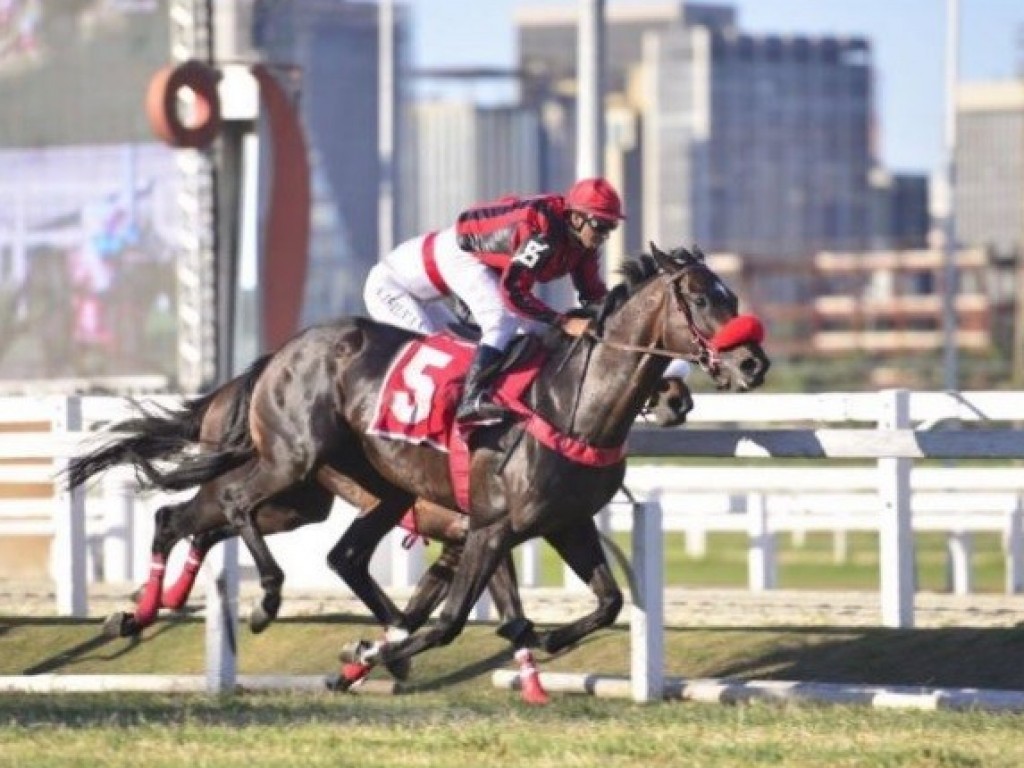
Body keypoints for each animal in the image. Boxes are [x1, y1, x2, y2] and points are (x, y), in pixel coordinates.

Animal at [86, 240, 770, 679]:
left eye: (731, 294)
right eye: (703, 299)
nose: (753, 363)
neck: (568, 403)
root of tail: (280, 353)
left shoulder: (562, 523)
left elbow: (607, 603)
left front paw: (546, 636)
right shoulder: (491, 527)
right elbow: (449, 622)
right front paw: (372, 654)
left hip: (319, 495)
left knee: (209, 522)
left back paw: (142, 611)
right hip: (291, 462)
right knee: (227, 506)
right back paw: (263, 599)